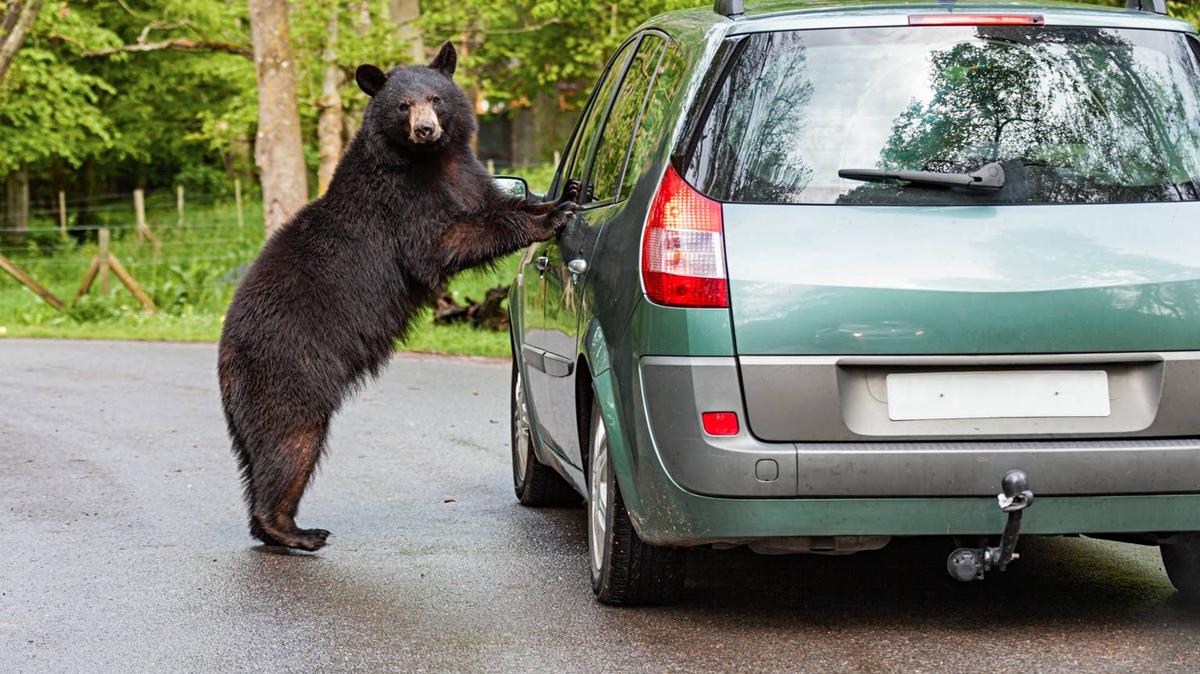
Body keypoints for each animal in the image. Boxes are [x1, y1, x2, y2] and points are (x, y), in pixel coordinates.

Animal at [217, 42, 578, 552]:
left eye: (435, 97)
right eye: (403, 105)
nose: (426, 129)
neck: (429, 161)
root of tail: (225, 354)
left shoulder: (467, 176)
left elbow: (494, 202)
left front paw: (560, 196)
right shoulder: (402, 203)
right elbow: (443, 242)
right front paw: (550, 217)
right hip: (289, 368)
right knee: (289, 441)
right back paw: (295, 530)